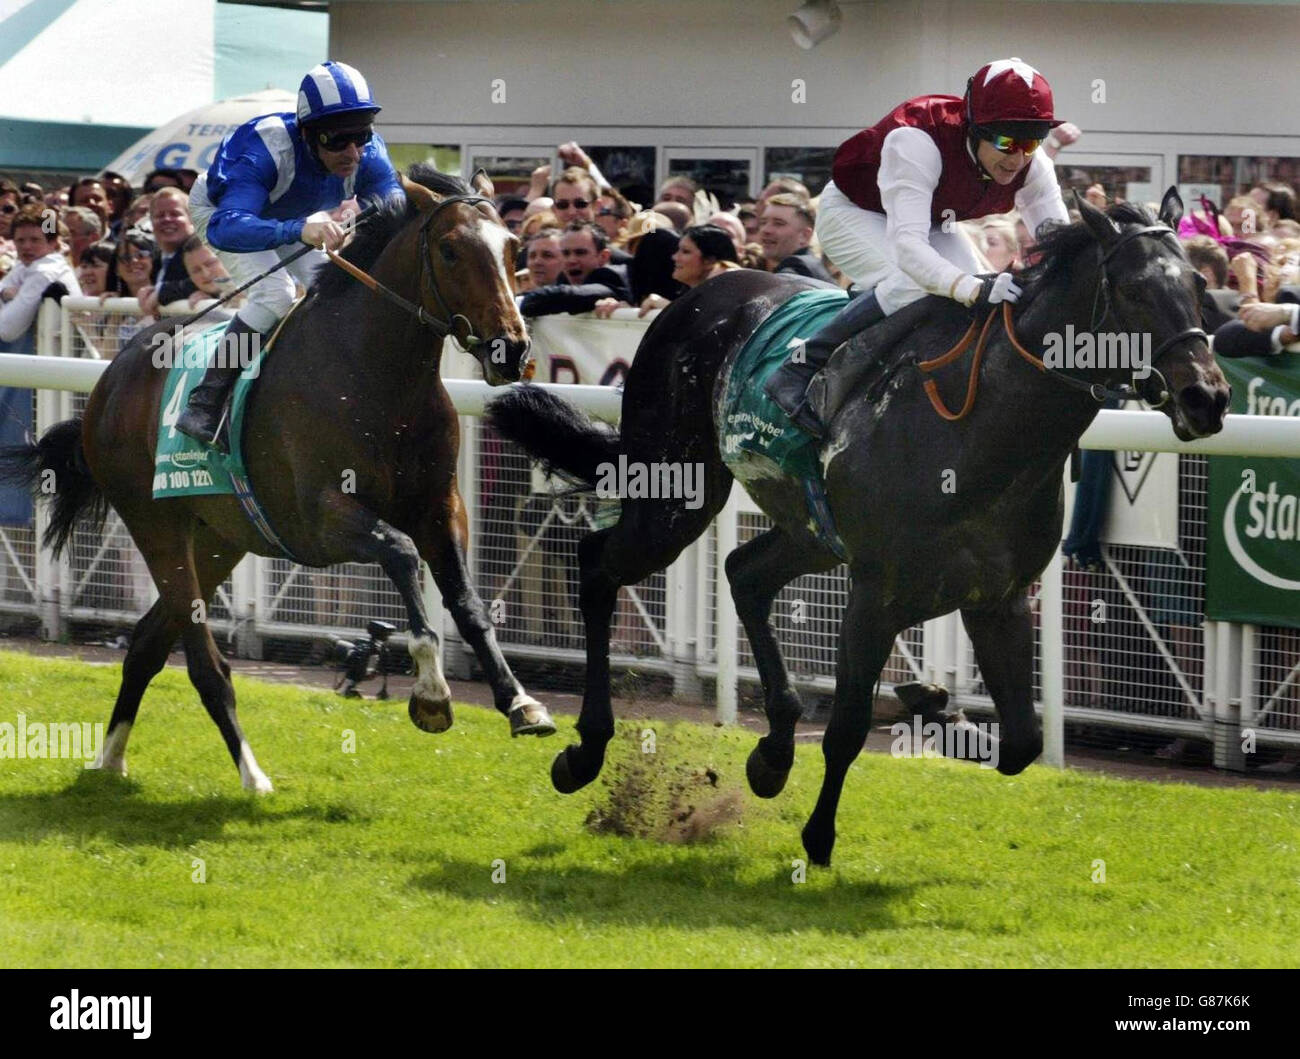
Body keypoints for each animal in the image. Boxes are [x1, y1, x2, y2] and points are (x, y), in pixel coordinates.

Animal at [0, 165, 551, 790]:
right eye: (451, 249)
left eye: (514, 248)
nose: (512, 348)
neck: (378, 379)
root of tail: (108, 381)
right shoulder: (320, 520)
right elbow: (401, 552)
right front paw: (432, 693)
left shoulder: (442, 505)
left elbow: (467, 602)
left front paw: (520, 702)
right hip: (155, 526)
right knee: (202, 661)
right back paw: (251, 773)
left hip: (218, 539)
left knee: (146, 641)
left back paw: (110, 757)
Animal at [488, 192, 1227, 862]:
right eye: (1133, 289)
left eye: (1199, 288)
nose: (1209, 398)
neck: (982, 425)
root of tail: (694, 296)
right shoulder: (877, 591)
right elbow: (846, 726)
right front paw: (819, 836)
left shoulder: (999, 596)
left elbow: (1022, 742)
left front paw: (924, 704)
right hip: (676, 493)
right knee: (596, 563)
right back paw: (584, 750)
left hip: (808, 529)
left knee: (743, 573)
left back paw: (775, 748)